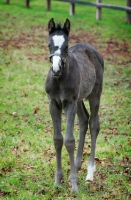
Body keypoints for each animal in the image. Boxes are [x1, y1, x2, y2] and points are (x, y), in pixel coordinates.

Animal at [45, 18, 104, 192]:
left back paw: (89, 173)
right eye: (49, 44)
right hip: (79, 100)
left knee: (94, 124)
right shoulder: (53, 103)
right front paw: (58, 181)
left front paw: (74, 185)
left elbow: (69, 140)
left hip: (94, 95)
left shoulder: (69, 103)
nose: (56, 69)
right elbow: (58, 139)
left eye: (66, 46)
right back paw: (76, 166)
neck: (59, 80)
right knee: (84, 120)